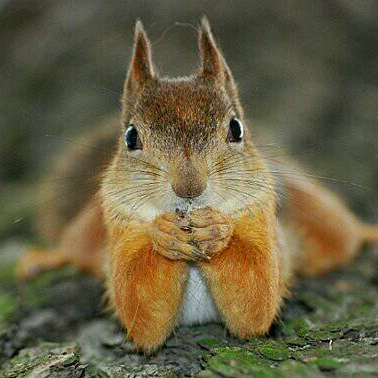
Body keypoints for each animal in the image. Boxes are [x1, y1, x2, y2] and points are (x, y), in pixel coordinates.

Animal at [17, 18, 378, 354]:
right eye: (131, 137)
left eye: (236, 128)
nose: (189, 186)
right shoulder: (120, 223)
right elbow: (141, 310)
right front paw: (164, 234)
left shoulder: (260, 216)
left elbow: (257, 299)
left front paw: (216, 230)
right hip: (91, 226)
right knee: (74, 248)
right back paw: (44, 258)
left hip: (311, 210)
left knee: (341, 234)